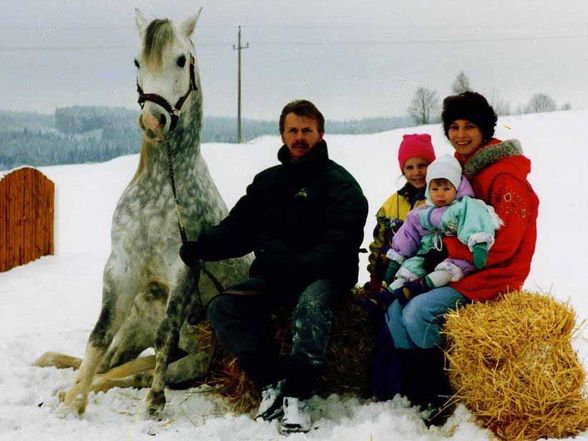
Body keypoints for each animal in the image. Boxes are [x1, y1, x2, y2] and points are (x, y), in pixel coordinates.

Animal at [50, 9, 250, 416]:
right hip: (133, 327)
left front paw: (154, 404)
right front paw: (74, 403)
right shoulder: (121, 268)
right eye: (138, 61)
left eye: (182, 60)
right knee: (111, 360)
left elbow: (165, 335)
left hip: (197, 357)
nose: (153, 121)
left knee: (144, 368)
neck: (162, 189)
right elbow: (97, 336)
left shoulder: (184, 267)